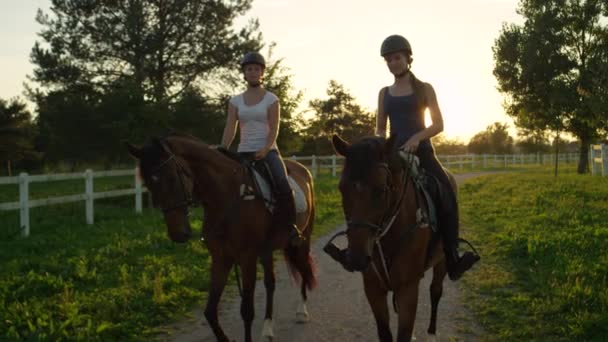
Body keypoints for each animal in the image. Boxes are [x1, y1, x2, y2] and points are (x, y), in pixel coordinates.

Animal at [128, 134, 318, 342]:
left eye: (171, 178)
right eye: (148, 184)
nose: (178, 233)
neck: (229, 195)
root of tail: (302, 169)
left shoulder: (247, 258)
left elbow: (247, 311)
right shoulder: (221, 258)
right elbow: (210, 312)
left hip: (303, 239)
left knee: (303, 267)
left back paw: (302, 312)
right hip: (266, 250)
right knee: (270, 283)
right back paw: (267, 328)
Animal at [330, 134, 454, 342]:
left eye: (381, 190)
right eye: (341, 189)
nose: (356, 259)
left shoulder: (408, 289)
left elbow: (404, 334)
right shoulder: (373, 288)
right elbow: (385, 333)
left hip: (442, 261)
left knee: (436, 290)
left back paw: (432, 332)